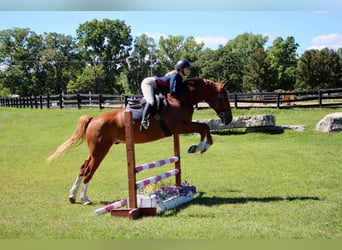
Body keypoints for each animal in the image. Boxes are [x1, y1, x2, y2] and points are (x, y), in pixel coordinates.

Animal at [46, 78, 232, 205]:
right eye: (224, 97)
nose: (229, 119)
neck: (181, 98)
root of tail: (93, 119)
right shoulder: (180, 127)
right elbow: (203, 127)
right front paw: (199, 147)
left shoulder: (181, 128)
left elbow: (204, 128)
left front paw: (200, 146)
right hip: (100, 150)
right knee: (89, 171)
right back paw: (85, 198)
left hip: (95, 150)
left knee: (83, 167)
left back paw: (72, 196)